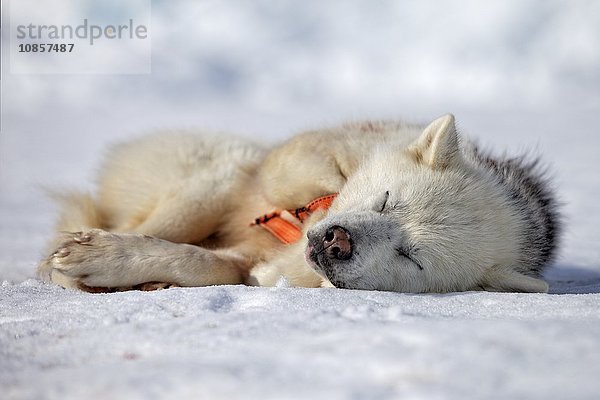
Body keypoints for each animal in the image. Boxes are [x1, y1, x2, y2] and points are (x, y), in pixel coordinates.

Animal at [37, 114, 560, 292]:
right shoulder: (320, 147)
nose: (336, 241)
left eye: (411, 257)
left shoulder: (253, 264)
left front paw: (114, 262)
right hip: (221, 176)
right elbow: (300, 169)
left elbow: (209, 265)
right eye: (386, 201)